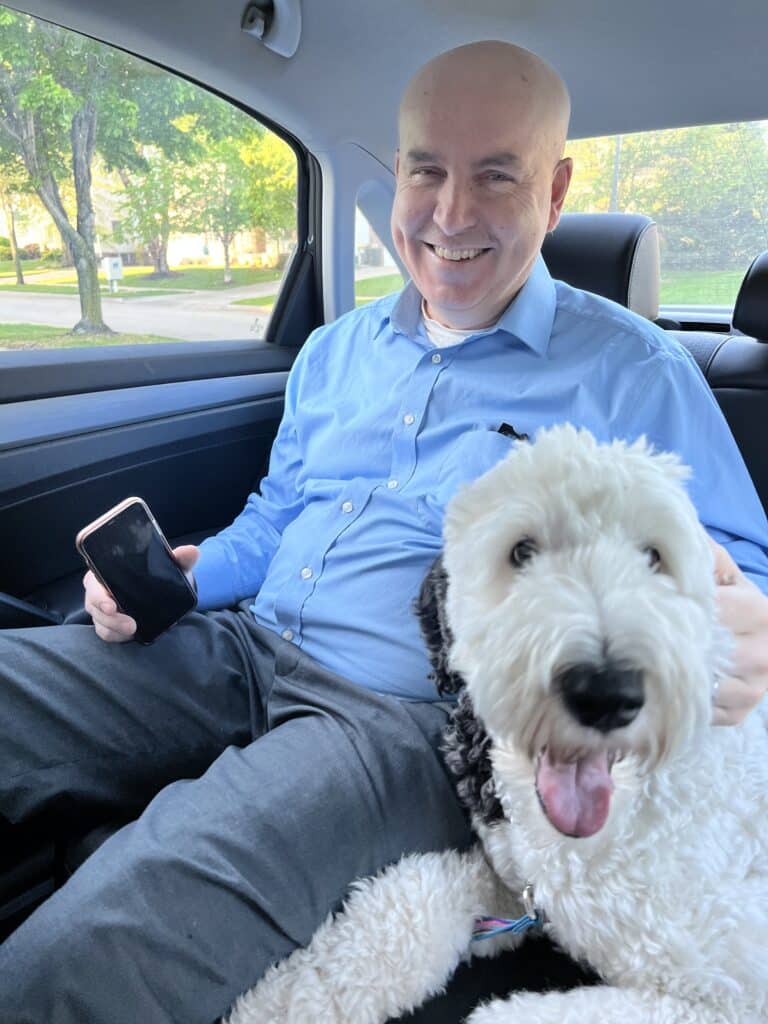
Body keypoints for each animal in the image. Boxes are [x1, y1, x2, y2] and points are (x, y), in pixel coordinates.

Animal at [225, 425, 765, 1024]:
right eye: (522, 551)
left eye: (655, 557)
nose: (606, 692)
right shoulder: (508, 874)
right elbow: (407, 908)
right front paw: (274, 1002)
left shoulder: (728, 991)